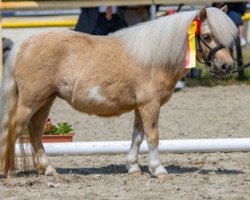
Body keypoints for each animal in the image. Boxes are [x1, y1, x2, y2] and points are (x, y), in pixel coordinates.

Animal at [0, 6, 237, 178]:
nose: (227, 66)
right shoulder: (150, 105)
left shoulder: (140, 106)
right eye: (206, 36)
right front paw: (158, 169)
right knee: (14, 128)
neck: (154, 58)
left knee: (36, 131)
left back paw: (48, 169)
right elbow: (152, 136)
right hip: (31, 100)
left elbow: (137, 137)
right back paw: (9, 170)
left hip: (45, 100)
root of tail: (23, 45)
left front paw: (133, 167)